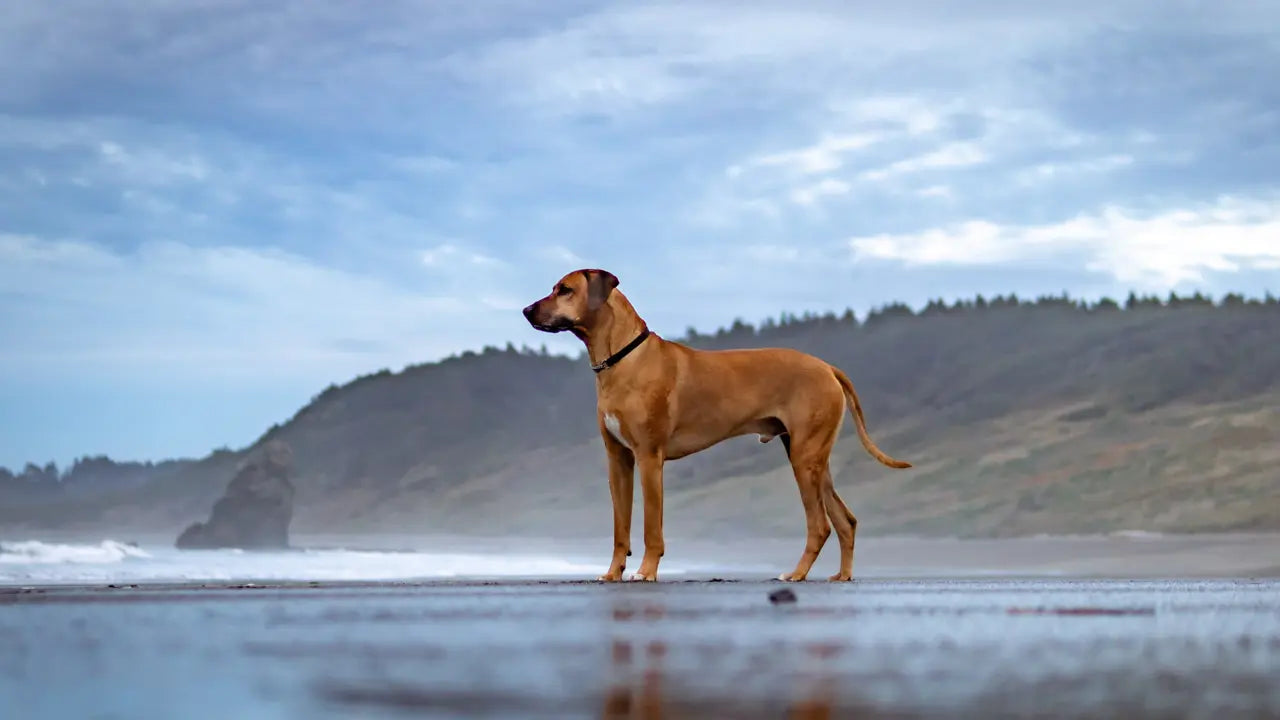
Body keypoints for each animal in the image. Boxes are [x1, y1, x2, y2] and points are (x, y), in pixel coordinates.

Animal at [522, 266, 911, 579]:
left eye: (565, 290)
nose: (526, 310)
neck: (623, 358)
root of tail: (827, 367)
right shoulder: (618, 460)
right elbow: (621, 528)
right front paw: (612, 573)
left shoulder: (649, 458)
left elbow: (651, 527)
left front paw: (645, 572)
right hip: (813, 459)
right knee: (846, 521)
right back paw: (842, 576)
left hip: (804, 459)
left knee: (820, 526)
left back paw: (796, 574)